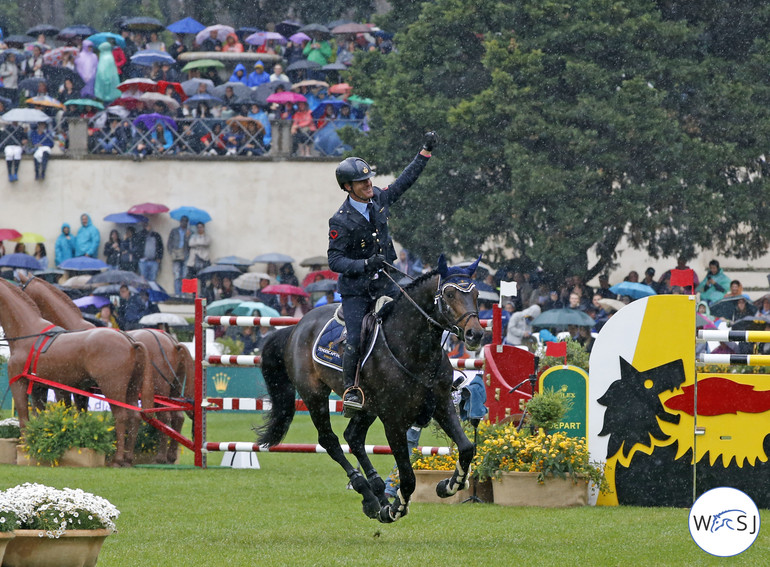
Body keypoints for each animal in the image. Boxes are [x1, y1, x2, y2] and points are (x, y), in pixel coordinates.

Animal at [0, 278, 154, 468]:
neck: (29, 333)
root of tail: (130, 341)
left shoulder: (20, 383)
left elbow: (24, 416)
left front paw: (26, 447)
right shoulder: (40, 387)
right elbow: (41, 415)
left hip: (113, 388)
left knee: (121, 417)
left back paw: (118, 459)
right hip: (132, 388)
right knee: (134, 417)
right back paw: (127, 459)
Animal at [18, 276, 195, 466]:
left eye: (22, 287)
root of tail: (172, 342)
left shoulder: (66, 387)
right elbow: (80, 412)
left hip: (159, 389)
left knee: (165, 418)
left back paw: (160, 457)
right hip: (173, 389)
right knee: (177, 417)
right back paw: (170, 455)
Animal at [260, 258, 486, 524]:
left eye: (476, 294)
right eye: (450, 294)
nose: (475, 334)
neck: (413, 349)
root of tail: (297, 327)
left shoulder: (441, 404)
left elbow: (466, 448)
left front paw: (449, 485)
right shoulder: (393, 421)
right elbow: (407, 476)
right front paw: (396, 508)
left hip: (367, 407)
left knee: (353, 438)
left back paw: (376, 494)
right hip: (314, 395)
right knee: (330, 440)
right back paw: (368, 494)